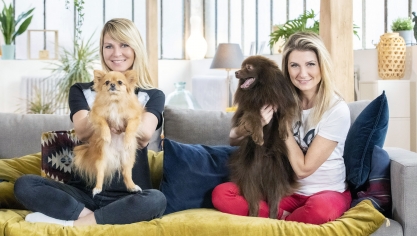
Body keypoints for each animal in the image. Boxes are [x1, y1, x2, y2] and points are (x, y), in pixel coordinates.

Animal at [229, 56, 298, 218]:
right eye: (241, 66)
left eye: (248, 67)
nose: (236, 72)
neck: (261, 90)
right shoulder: (250, 107)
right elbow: (255, 117)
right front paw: (258, 136)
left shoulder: (282, 103)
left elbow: (284, 115)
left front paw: (283, 132)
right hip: (250, 179)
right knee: (254, 204)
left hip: (275, 179)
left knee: (274, 204)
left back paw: (272, 218)